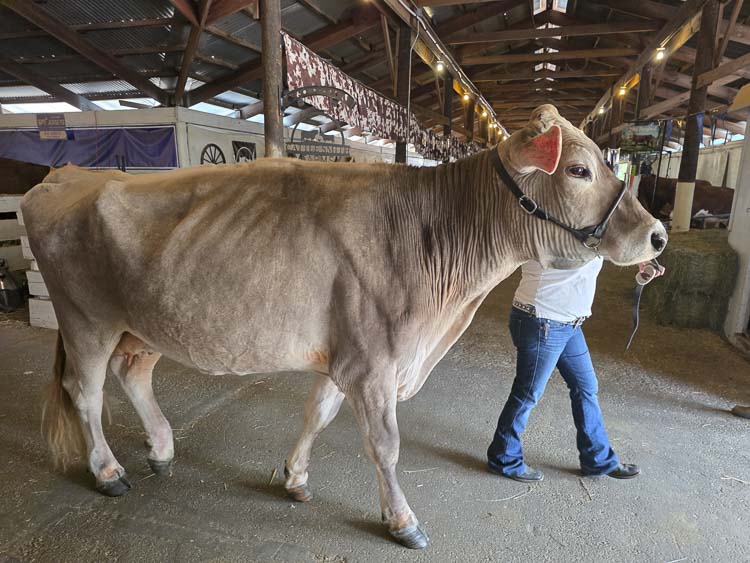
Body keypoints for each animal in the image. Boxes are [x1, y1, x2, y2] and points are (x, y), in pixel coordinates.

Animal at [23, 105, 666, 549]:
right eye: (580, 169)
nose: (658, 236)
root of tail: (67, 174)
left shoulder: (348, 355)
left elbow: (317, 413)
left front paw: (294, 478)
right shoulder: (373, 361)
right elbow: (385, 445)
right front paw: (402, 521)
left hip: (149, 321)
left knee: (133, 373)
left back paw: (161, 449)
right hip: (86, 318)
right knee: (85, 391)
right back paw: (108, 471)